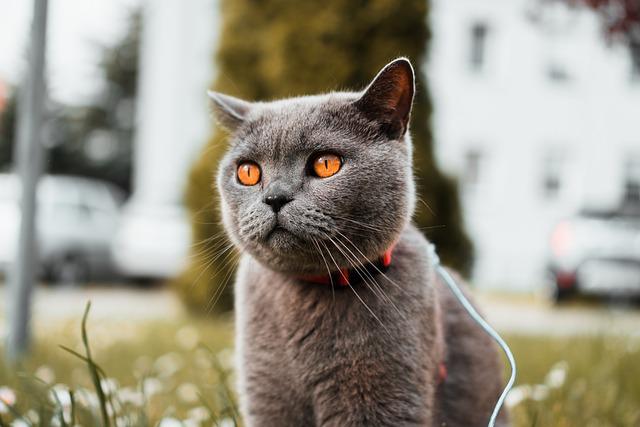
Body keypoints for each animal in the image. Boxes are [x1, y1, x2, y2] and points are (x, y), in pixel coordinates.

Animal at [210, 57, 510, 427]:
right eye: (248, 172)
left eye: (326, 164)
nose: (275, 197)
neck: (309, 288)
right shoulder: (266, 396)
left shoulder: (383, 399)